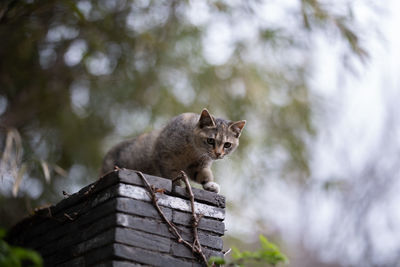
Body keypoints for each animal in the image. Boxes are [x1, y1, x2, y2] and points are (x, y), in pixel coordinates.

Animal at [101, 109, 244, 195]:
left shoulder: (197, 166)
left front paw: (210, 185)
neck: (193, 151)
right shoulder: (165, 158)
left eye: (227, 144)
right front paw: (178, 186)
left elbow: (203, 175)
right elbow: (172, 175)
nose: (218, 153)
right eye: (210, 140)